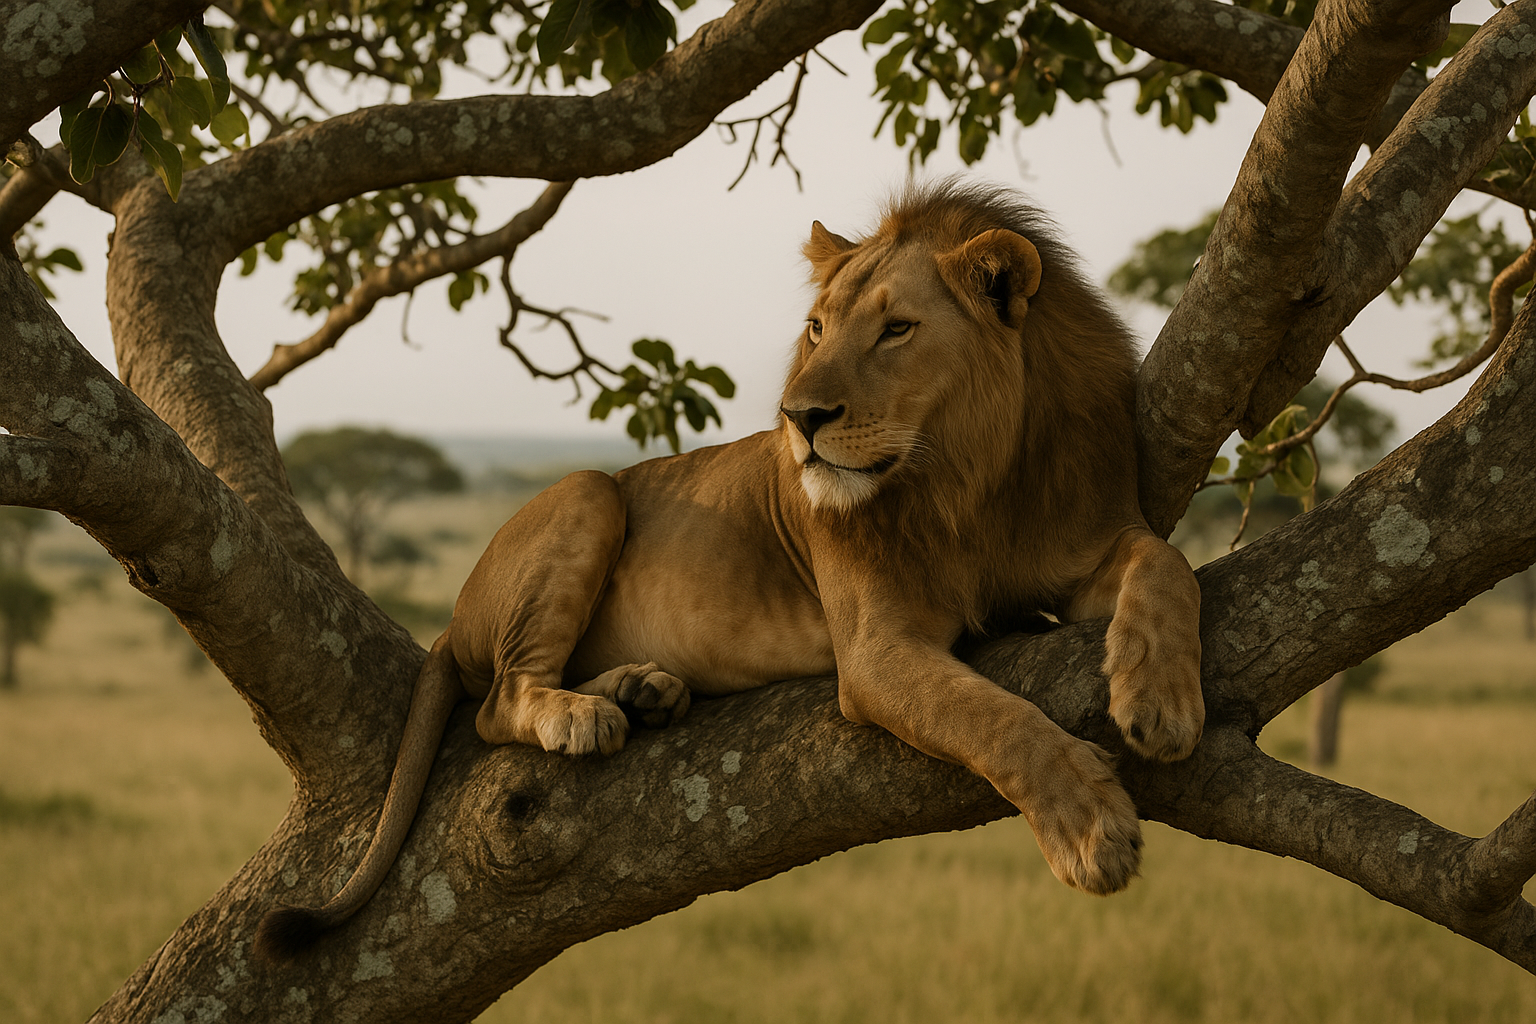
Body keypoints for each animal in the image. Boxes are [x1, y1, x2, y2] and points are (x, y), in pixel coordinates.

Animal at [255, 181, 1204, 961]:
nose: (799, 417)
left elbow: (1166, 560)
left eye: (896, 329)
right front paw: (1090, 830)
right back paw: (581, 715)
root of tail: (452, 620)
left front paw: (1160, 699)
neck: (969, 479)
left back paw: (639, 690)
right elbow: (994, 720)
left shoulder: (1077, 551)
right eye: (817, 329)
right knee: (498, 701)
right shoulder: (876, 651)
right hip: (588, 493)